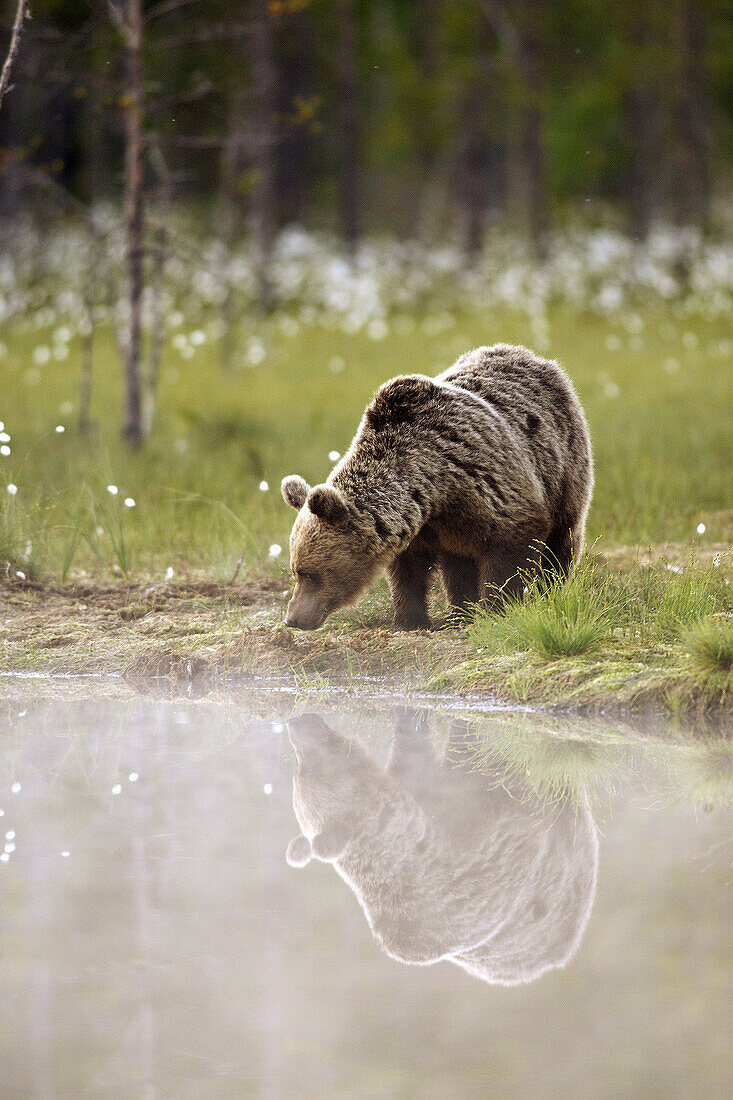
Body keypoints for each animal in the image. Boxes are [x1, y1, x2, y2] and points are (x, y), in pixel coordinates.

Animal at [279, 338, 589, 633]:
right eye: (295, 570)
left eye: (309, 573)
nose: (292, 619)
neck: (435, 489)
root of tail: (528, 355)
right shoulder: (424, 527)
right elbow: (408, 574)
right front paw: (410, 619)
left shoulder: (492, 490)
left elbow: (509, 553)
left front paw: (496, 608)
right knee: (458, 566)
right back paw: (460, 612)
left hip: (562, 468)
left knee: (562, 538)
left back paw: (550, 591)